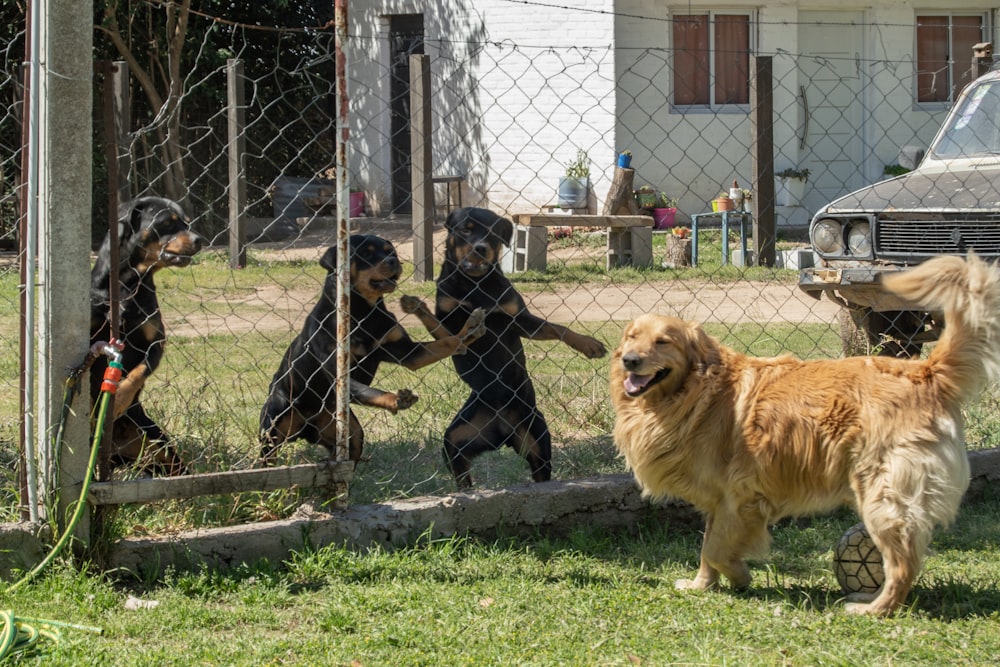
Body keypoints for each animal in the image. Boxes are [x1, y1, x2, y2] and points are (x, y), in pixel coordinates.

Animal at [79, 196, 203, 478]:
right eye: (166, 222)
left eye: (186, 222)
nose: (199, 238)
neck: (127, 285)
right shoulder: (92, 338)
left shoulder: (155, 343)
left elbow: (138, 371)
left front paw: (119, 398)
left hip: (160, 445)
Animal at [258, 235, 484, 464]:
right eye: (365, 254)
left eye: (389, 251)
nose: (394, 260)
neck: (363, 314)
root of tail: (305, 429)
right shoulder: (339, 372)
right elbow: (372, 391)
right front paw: (397, 399)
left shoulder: (406, 352)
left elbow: (449, 342)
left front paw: (469, 330)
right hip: (273, 427)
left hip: (349, 434)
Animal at [406, 206, 608, 488]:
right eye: (465, 229)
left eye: (492, 234)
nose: (480, 248)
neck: (475, 284)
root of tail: (503, 433)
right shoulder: (449, 330)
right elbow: (448, 329)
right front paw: (419, 307)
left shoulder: (518, 319)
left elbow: (558, 328)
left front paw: (589, 344)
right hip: (456, 440)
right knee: (461, 472)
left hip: (538, 439)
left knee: (541, 473)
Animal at [608, 254, 1000, 616]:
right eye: (631, 337)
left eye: (662, 342)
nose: (629, 360)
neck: (697, 390)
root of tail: (925, 372)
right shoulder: (720, 501)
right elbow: (707, 549)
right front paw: (702, 585)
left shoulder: (739, 496)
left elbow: (716, 549)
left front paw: (739, 576)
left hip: (883, 496)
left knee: (903, 564)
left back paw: (875, 608)